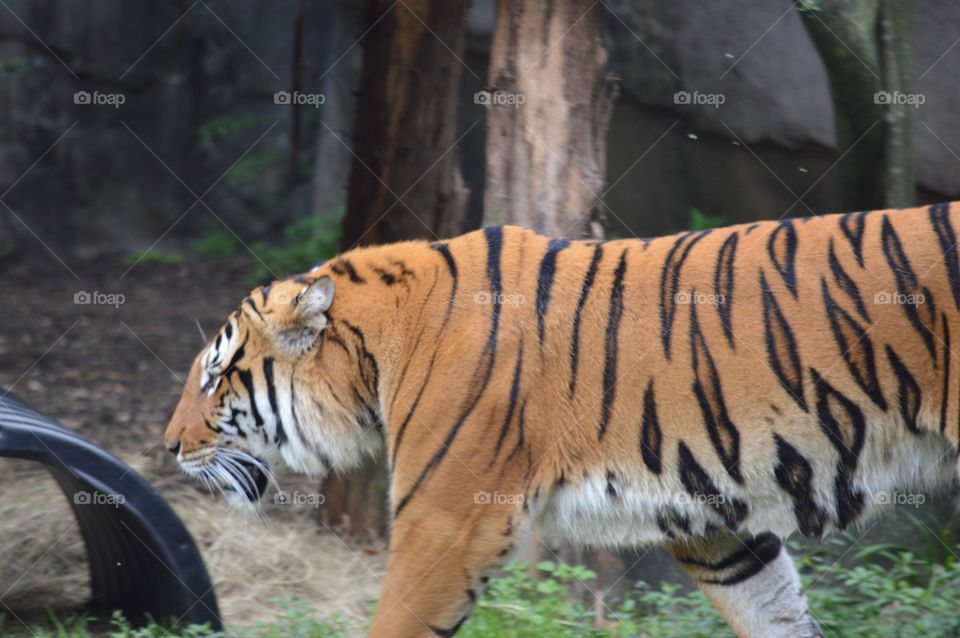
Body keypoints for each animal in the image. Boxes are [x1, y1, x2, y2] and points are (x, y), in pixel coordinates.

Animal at [164, 201, 960, 637]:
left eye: (213, 377)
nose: (168, 446)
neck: (378, 354)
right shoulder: (715, 524)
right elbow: (777, 613)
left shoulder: (445, 521)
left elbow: (396, 620)